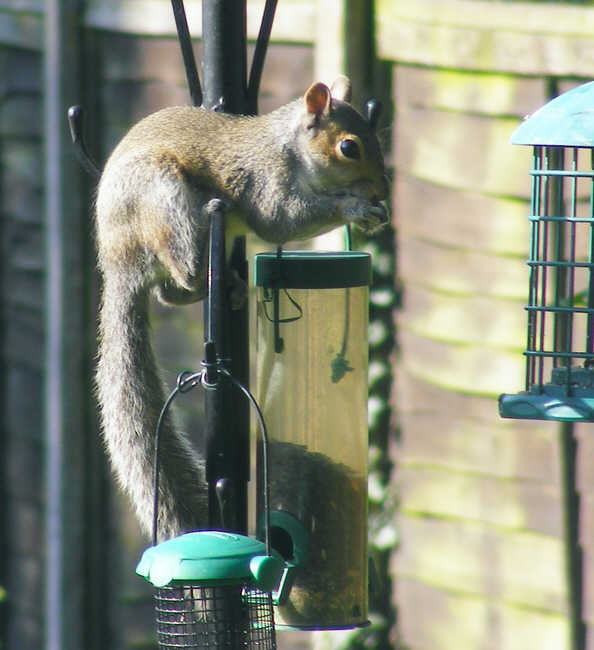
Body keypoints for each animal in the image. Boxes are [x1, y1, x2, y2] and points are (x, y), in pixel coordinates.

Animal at [94, 76, 386, 536]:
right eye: (349, 147)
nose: (383, 189)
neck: (286, 150)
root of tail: (116, 259)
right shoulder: (262, 185)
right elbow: (280, 221)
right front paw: (355, 208)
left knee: (168, 293)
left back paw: (227, 286)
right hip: (164, 200)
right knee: (183, 272)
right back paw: (212, 273)